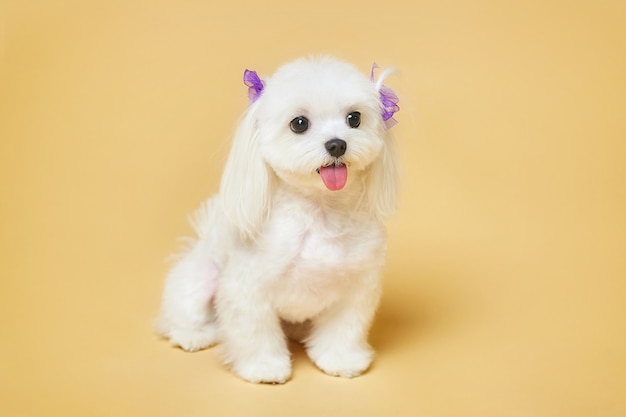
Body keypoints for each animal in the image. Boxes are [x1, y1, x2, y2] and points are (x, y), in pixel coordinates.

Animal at [156, 56, 400, 384]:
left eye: (354, 118)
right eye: (299, 123)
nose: (337, 144)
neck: (319, 211)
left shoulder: (356, 286)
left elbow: (343, 329)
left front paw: (340, 359)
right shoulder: (247, 287)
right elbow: (255, 332)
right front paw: (264, 367)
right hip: (199, 281)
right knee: (180, 315)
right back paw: (192, 335)